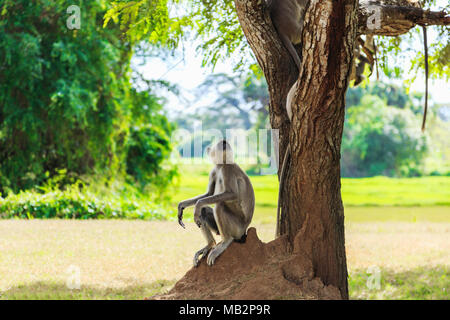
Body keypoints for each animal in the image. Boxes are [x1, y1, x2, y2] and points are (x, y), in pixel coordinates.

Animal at [177, 140, 255, 268]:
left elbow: (232, 194)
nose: (224, 142)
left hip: (237, 227)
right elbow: (208, 194)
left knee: (220, 206)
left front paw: (197, 205)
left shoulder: (227, 168)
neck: (222, 164)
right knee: (204, 211)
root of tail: (244, 231)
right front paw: (182, 205)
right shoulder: (214, 171)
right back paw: (210, 244)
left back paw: (226, 241)